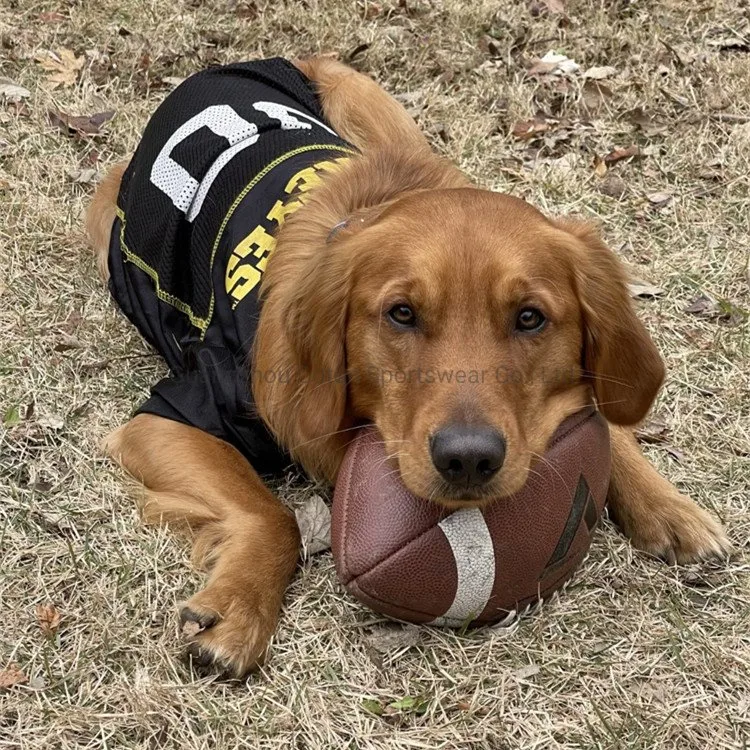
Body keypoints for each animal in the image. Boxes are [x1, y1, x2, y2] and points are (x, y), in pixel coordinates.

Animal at [85, 55, 732, 680]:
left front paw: (667, 504)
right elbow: (272, 514)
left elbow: (607, 419)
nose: (468, 459)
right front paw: (238, 610)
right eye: (401, 313)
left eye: (530, 318)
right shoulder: (168, 418)